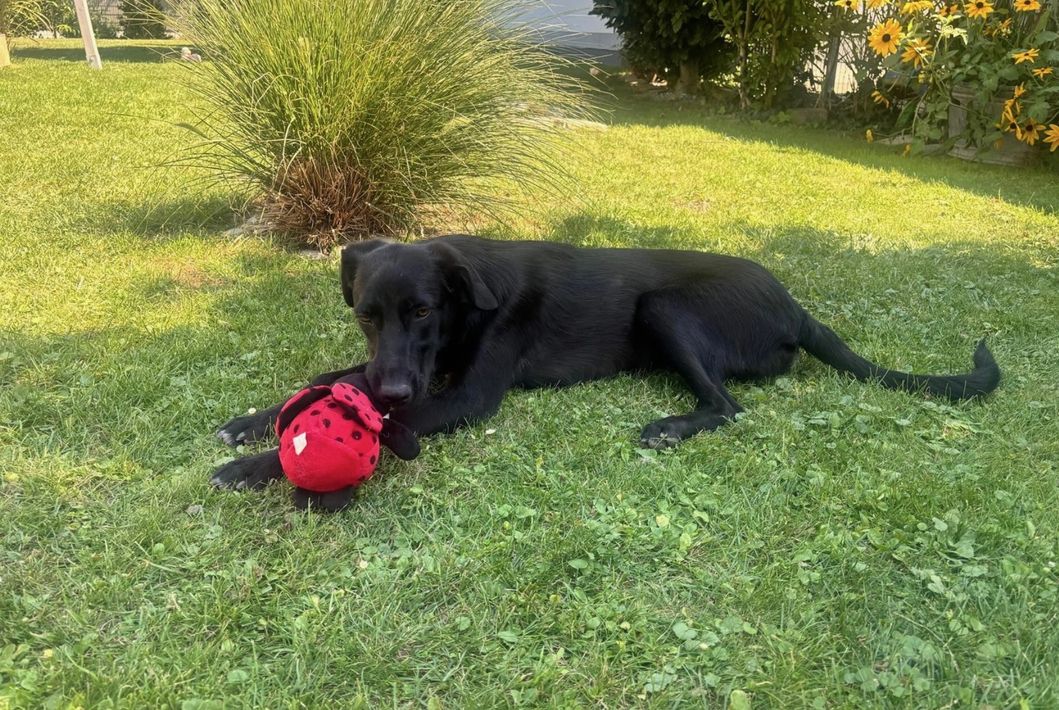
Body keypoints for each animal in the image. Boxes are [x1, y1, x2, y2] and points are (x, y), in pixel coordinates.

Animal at [211, 234, 1000, 509]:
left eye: (424, 309)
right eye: (369, 314)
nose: (396, 384)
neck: (470, 305)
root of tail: (795, 306)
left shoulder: (466, 396)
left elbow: (387, 418)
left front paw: (258, 465)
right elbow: (331, 378)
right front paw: (256, 421)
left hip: (665, 308)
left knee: (727, 406)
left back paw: (672, 426)